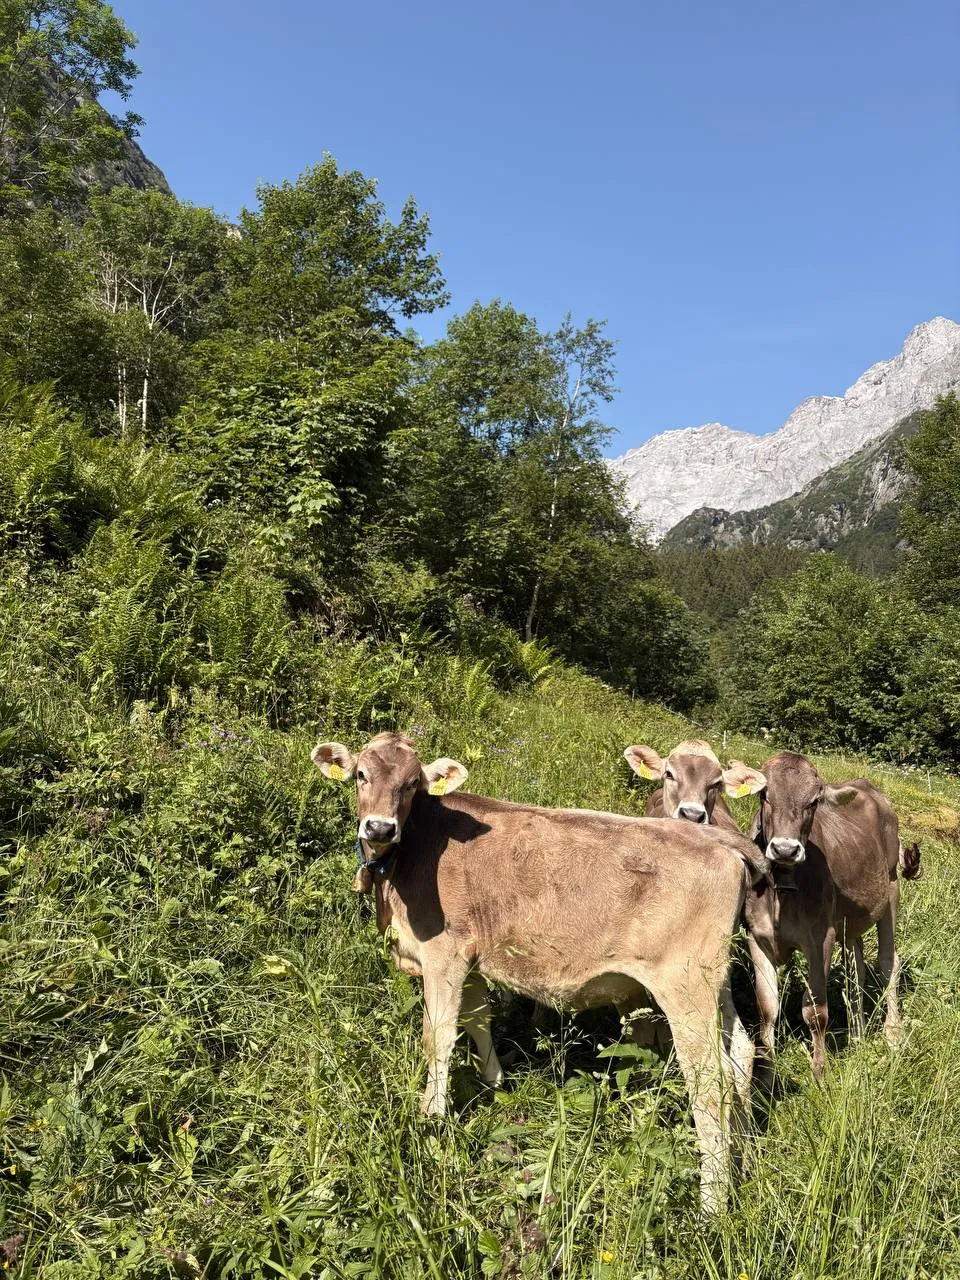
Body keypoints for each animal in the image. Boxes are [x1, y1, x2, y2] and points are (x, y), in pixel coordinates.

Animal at [312, 731, 764, 1212]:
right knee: (741, 1055)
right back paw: (746, 1157)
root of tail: (715, 838)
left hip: (686, 986)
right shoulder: (473, 957)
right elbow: (478, 1020)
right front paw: (495, 1083)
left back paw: (712, 1207)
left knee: (710, 1084)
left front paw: (431, 1120)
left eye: (413, 783)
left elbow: (438, 1038)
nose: (379, 828)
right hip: (716, 983)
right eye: (361, 773)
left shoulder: (443, 955)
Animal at [745, 751, 921, 1076]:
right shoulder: (758, 936)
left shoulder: (820, 938)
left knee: (889, 963)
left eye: (814, 801)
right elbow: (767, 1007)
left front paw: (819, 1071)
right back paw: (858, 1033)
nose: (785, 849)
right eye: (764, 794)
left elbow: (815, 1010)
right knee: (857, 970)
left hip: (890, 890)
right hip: (851, 918)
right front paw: (764, 1073)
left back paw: (893, 1034)